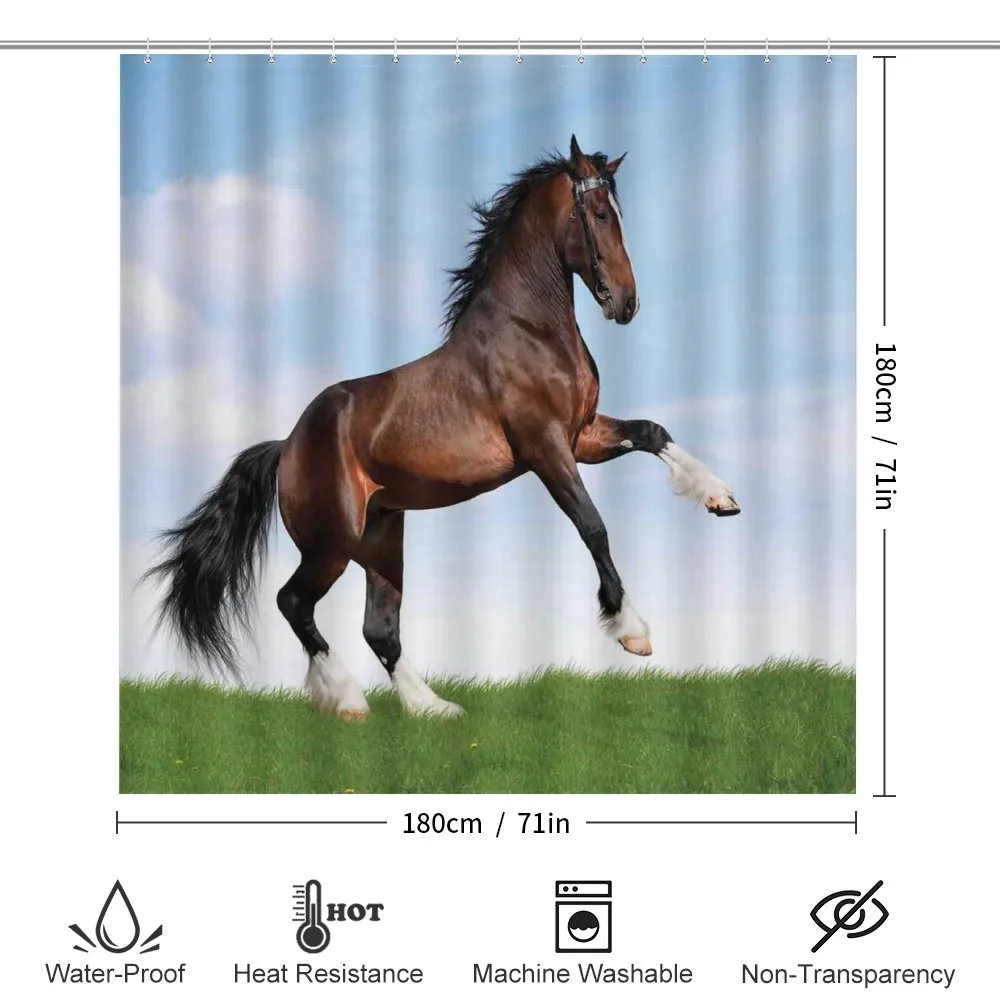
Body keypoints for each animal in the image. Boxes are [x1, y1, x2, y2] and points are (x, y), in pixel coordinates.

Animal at [145, 135, 740, 719]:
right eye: (597, 213)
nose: (627, 303)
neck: (530, 330)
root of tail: (287, 445)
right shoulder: (546, 448)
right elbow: (593, 526)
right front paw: (632, 632)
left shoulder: (583, 436)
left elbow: (653, 432)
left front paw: (721, 499)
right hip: (332, 543)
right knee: (294, 603)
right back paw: (347, 698)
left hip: (382, 536)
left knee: (379, 628)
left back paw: (432, 707)